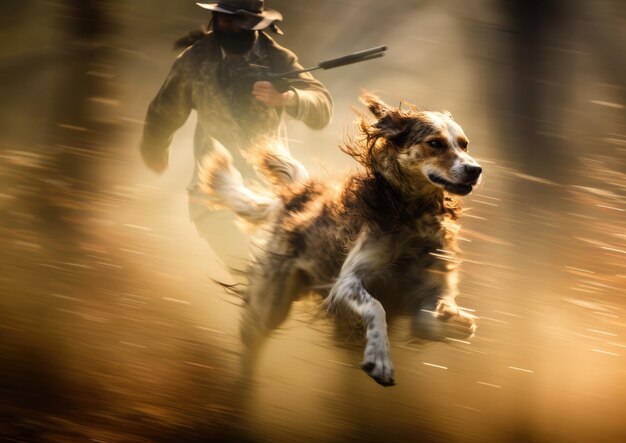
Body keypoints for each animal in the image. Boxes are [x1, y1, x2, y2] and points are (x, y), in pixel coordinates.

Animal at [200, 93, 482, 386]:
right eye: (435, 143)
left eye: (464, 144)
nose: (475, 169)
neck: (411, 218)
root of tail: (294, 195)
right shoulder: (347, 282)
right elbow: (376, 307)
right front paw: (379, 359)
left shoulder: (427, 291)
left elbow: (429, 321)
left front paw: (457, 321)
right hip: (270, 305)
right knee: (251, 347)